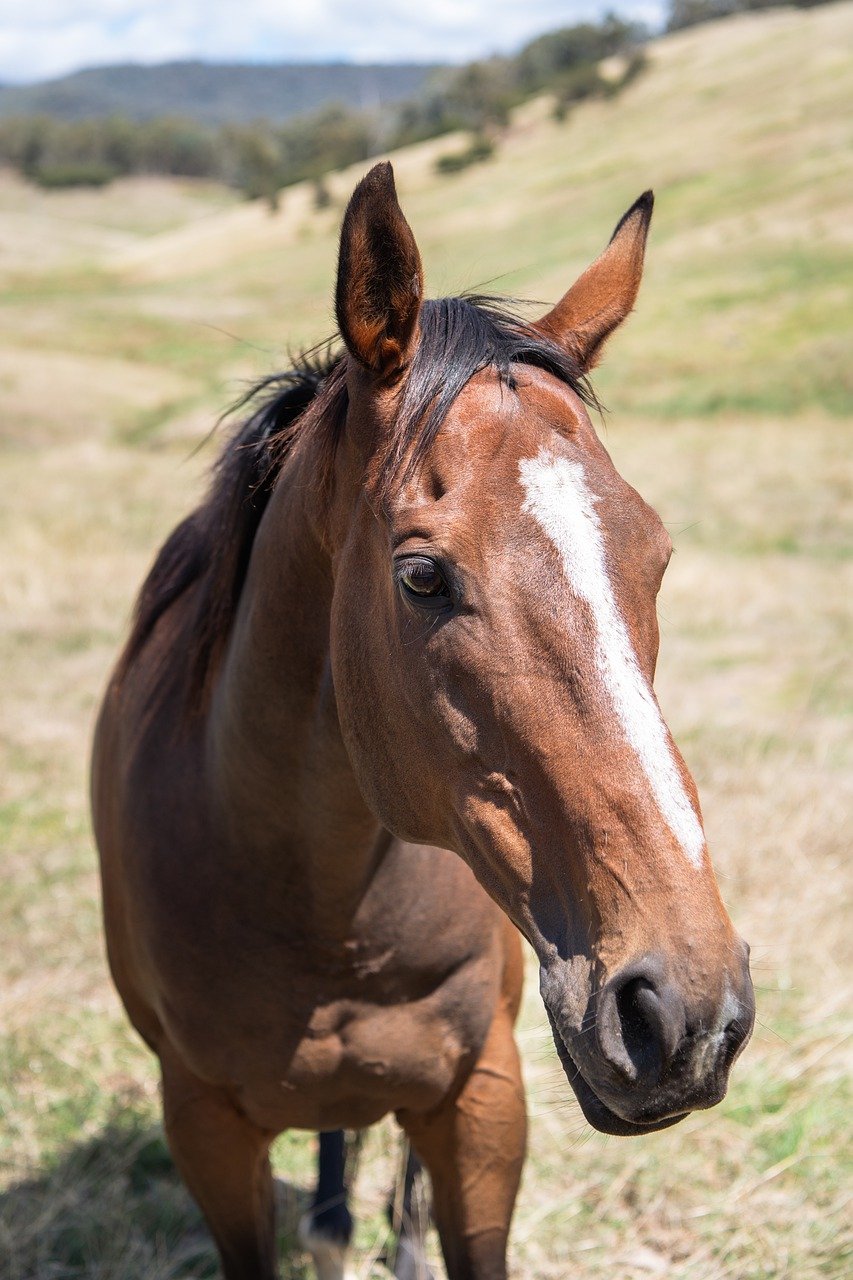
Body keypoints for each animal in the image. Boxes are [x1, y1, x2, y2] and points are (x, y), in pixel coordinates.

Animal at [91, 161, 755, 1280]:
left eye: (656, 554)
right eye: (420, 575)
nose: (685, 1010)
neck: (313, 904)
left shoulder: (483, 1102)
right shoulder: (206, 1128)